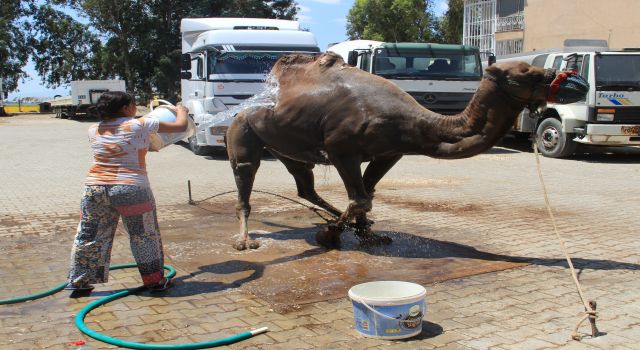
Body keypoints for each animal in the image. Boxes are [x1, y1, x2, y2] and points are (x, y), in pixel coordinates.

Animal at [226, 52, 592, 250]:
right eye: (526, 73)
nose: (578, 82)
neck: (416, 123)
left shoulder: (391, 152)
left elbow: (368, 194)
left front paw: (368, 234)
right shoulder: (342, 149)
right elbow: (360, 198)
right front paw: (328, 235)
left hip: (287, 147)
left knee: (305, 185)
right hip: (243, 134)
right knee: (245, 180)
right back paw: (245, 241)